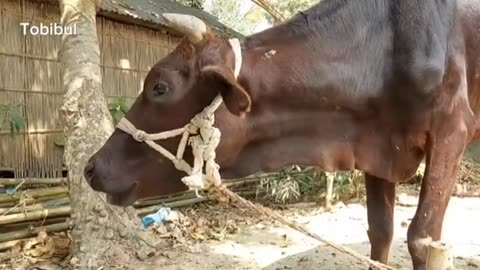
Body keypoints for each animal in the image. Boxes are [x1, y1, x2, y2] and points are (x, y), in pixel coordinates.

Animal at [83, 1, 480, 268]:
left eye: (159, 87)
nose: (90, 168)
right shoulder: (378, 148)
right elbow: (380, 232)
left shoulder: (452, 132)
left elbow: (422, 239)